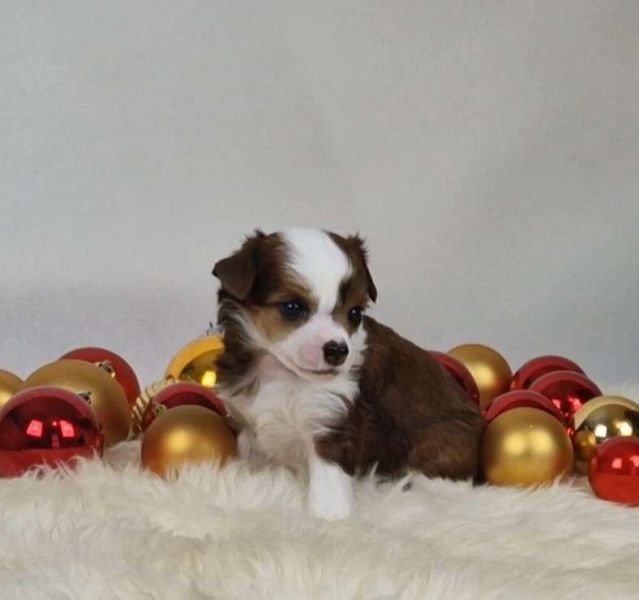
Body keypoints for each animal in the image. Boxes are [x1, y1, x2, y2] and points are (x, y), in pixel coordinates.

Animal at [213, 228, 484, 520]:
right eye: (292, 308)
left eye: (354, 313)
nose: (338, 351)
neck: (280, 373)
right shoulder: (247, 427)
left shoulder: (332, 428)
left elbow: (328, 497)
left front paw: (328, 520)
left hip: (437, 445)